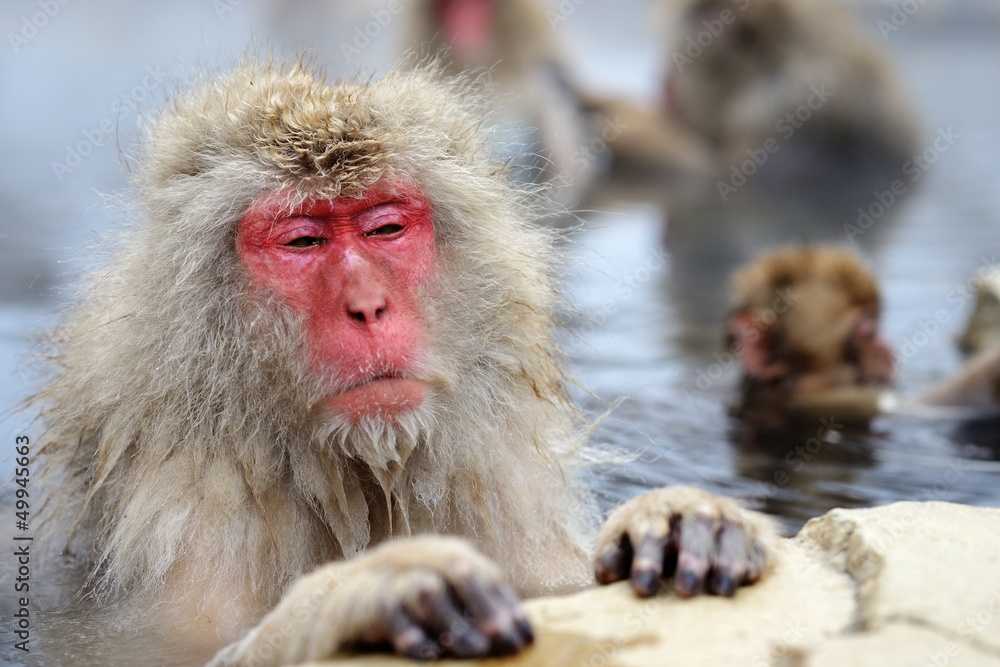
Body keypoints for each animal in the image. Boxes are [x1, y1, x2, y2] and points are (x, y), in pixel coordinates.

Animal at [33, 60, 772, 664]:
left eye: (385, 227)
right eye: (302, 241)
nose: (368, 306)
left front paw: (680, 520)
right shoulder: (196, 497)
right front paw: (371, 587)